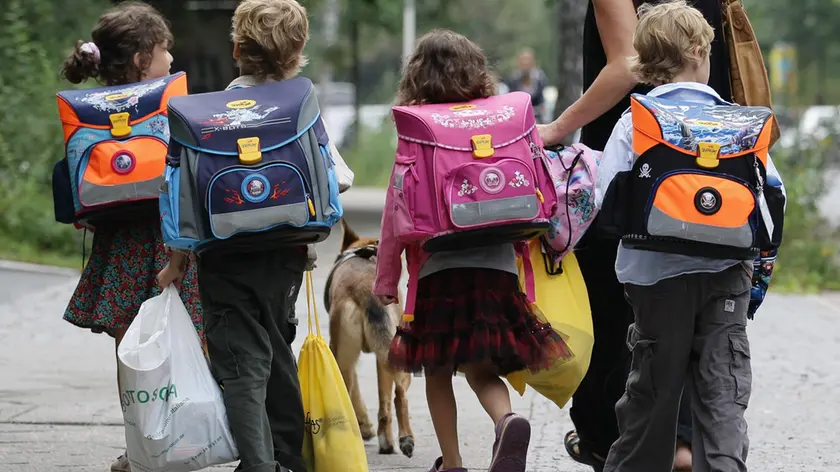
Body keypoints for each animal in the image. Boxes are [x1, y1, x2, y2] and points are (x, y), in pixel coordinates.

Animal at [322, 220, 414, 458]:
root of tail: (365, 292)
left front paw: (365, 426)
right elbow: (385, 402)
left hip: (341, 356)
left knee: (347, 392)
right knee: (399, 394)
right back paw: (402, 440)